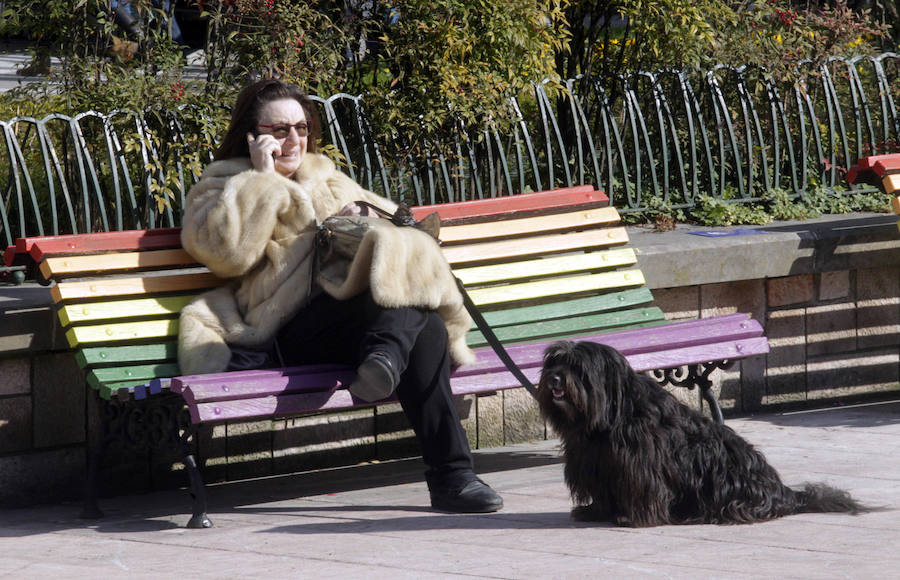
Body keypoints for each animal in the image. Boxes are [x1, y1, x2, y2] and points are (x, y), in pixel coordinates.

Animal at [536, 340, 868, 524]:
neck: (610, 414)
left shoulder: (639, 464)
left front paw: (633, 517)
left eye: (577, 368)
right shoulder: (598, 464)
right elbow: (605, 493)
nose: (554, 379)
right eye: (554, 362)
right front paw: (597, 511)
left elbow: (644, 489)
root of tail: (785, 493)